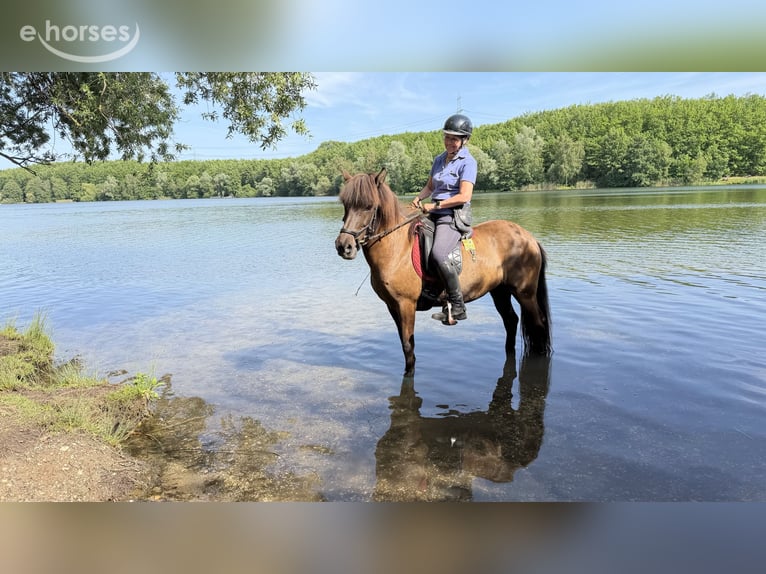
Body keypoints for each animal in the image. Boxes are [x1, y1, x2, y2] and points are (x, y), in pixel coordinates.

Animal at [334, 168, 551, 376]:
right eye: (345, 204)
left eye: (369, 206)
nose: (344, 246)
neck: (397, 248)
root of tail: (529, 237)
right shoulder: (392, 306)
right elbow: (405, 344)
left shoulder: (406, 304)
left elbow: (408, 345)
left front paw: (409, 373)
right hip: (500, 291)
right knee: (511, 321)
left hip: (525, 293)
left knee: (538, 323)